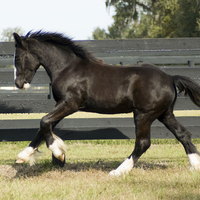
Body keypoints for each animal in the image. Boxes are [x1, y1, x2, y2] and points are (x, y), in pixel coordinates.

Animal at [12, 30, 200, 175]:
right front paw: (23, 156)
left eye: (18, 58)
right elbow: (44, 127)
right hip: (164, 114)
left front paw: (59, 153)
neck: (67, 68)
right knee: (183, 134)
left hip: (143, 115)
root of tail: (170, 78)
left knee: (143, 143)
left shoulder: (70, 104)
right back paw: (195, 166)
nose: (18, 84)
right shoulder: (62, 105)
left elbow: (44, 122)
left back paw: (118, 171)